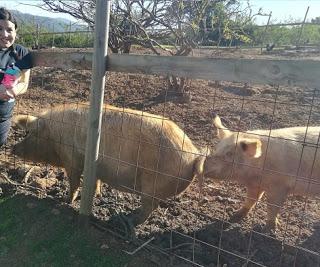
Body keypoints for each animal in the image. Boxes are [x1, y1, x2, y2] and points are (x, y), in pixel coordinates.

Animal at [13, 103, 204, 225]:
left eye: (30, 133)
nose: (13, 148)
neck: (54, 135)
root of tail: (193, 156)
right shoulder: (95, 167)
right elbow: (95, 182)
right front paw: (96, 195)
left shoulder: (72, 160)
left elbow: (74, 182)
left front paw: (65, 200)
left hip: (154, 185)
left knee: (150, 207)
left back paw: (129, 221)